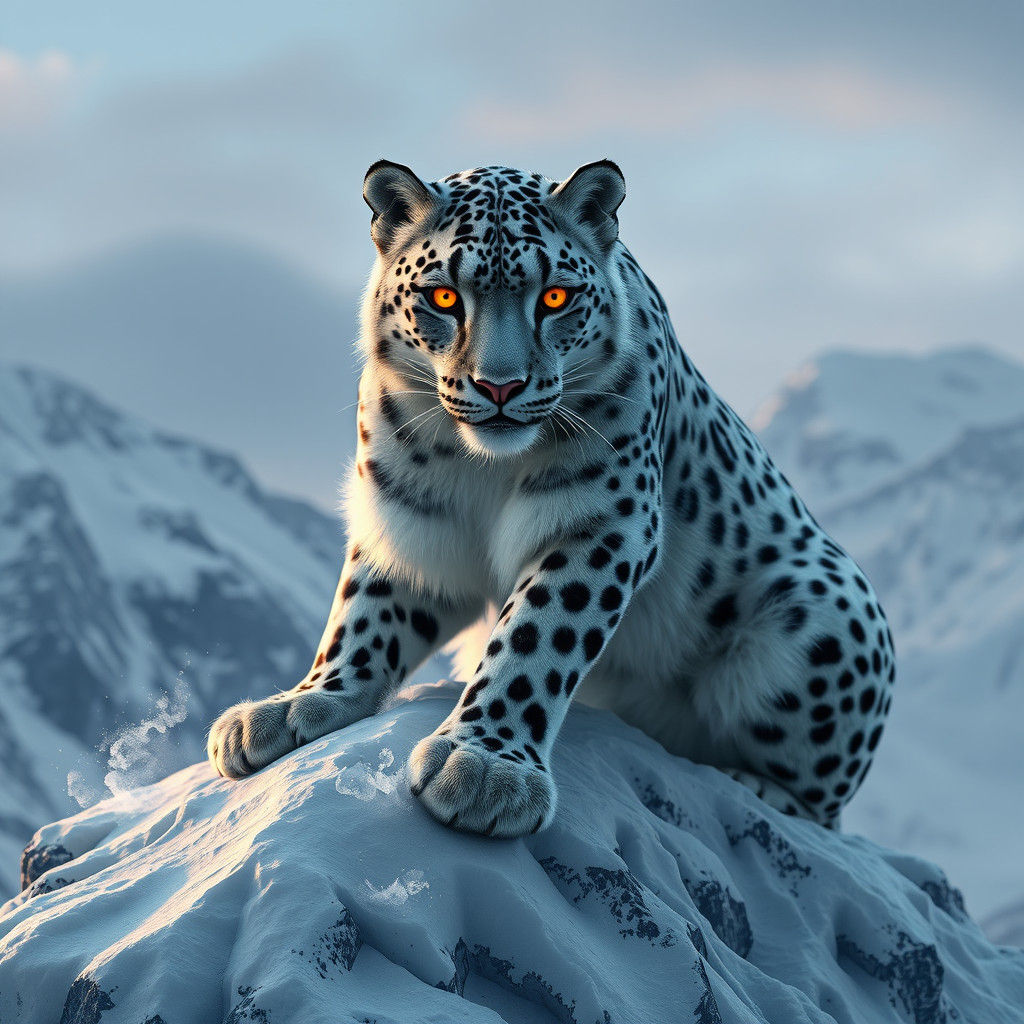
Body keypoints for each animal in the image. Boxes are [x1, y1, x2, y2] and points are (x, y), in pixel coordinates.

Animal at [207, 159, 895, 838]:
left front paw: (484, 768)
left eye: (555, 297)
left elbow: (537, 635)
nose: (500, 386)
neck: (480, 470)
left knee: (823, 807)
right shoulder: (409, 518)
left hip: (822, 618)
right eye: (443, 296)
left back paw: (754, 792)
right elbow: (364, 614)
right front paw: (296, 705)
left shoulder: (600, 521)